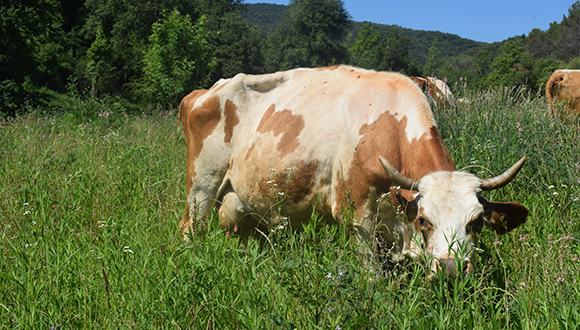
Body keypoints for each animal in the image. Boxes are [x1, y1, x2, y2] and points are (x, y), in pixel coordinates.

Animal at [179, 64, 528, 278]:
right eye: (424, 220)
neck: (389, 129)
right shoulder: (357, 217)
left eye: (477, 222)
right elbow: (373, 279)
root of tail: (205, 92)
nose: (451, 269)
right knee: (190, 228)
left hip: (245, 202)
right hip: (202, 185)